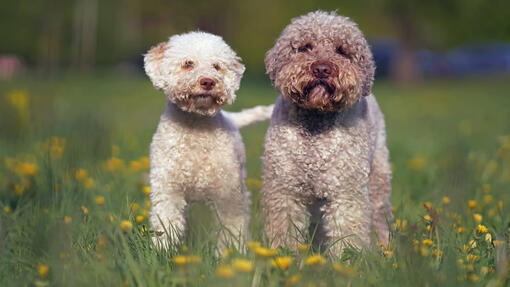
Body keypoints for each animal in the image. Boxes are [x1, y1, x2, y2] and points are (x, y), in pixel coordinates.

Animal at [144, 31, 270, 251]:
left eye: (216, 66)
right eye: (188, 63)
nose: (208, 82)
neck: (196, 127)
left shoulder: (228, 195)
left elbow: (232, 228)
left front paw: (232, 253)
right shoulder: (168, 189)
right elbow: (166, 223)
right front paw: (162, 251)